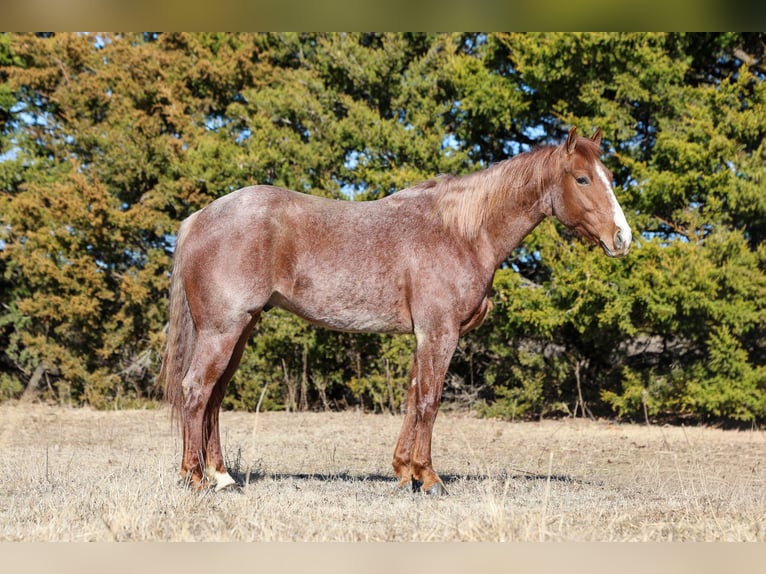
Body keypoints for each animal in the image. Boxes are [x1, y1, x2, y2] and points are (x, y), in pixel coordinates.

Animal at [159, 127, 632, 495]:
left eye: (608, 177)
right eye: (582, 178)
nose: (623, 238)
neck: (461, 232)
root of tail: (198, 218)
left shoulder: (424, 335)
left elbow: (412, 397)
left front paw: (405, 474)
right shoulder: (439, 332)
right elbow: (429, 400)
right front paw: (430, 478)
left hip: (239, 330)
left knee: (215, 396)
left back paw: (222, 476)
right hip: (223, 330)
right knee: (196, 391)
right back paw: (196, 479)